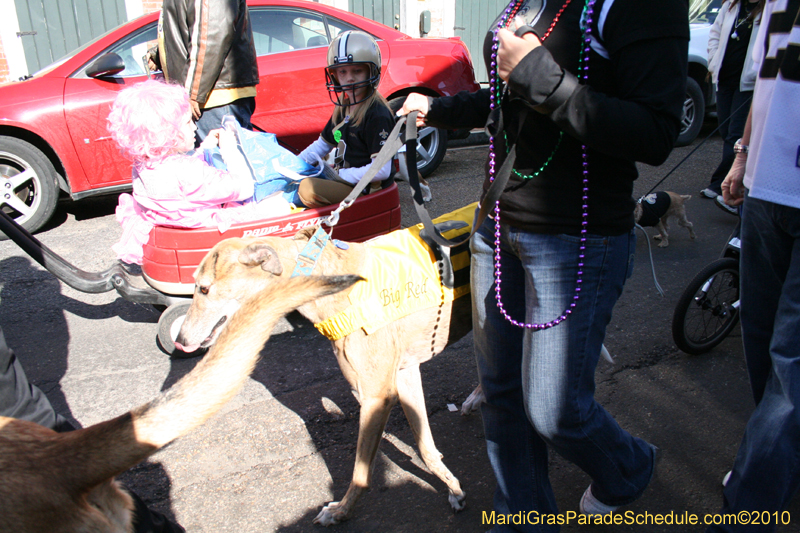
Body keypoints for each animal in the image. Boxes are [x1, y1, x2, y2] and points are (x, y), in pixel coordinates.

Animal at [177, 219, 476, 524]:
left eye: (203, 288)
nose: (180, 340)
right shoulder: (405, 375)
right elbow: (425, 447)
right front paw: (453, 488)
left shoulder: (376, 398)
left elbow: (361, 472)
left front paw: (341, 510)